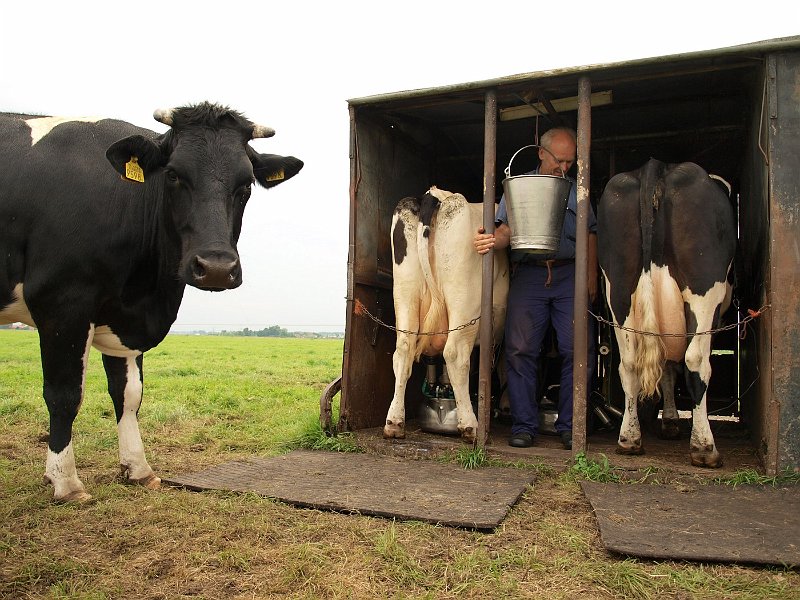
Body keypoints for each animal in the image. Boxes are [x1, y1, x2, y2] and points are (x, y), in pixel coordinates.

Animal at [0, 104, 304, 502]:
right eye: (173, 174)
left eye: (246, 184)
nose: (217, 268)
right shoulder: (61, 302)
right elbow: (64, 395)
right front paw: (65, 482)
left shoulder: (124, 320)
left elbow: (129, 395)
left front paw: (138, 468)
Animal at [382, 185, 506, 442]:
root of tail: (434, 194)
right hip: (463, 300)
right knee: (455, 354)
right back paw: (470, 425)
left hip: (405, 292)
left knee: (403, 350)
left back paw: (394, 422)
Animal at [596, 157, 736, 466]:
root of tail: (655, 166)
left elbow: (668, 367)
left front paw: (669, 421)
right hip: (703, 287)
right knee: (696, 362)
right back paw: (704, 447)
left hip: (618, 290)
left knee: (630, 364)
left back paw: (629, 439)